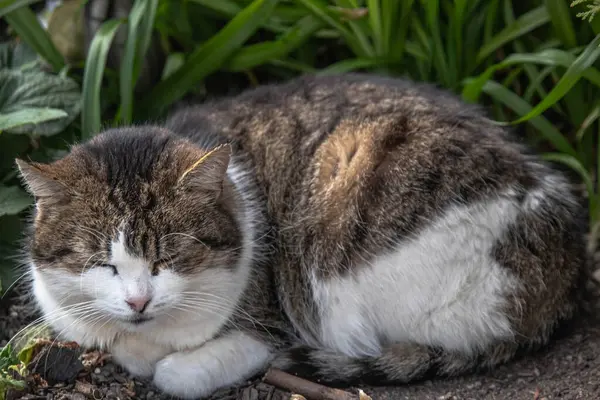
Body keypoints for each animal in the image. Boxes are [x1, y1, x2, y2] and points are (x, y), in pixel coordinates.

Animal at [17, 73, 592, 398]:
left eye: (168, 257)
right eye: (102, 262)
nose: (138, 302)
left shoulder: (273, 322)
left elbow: (188, 368)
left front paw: (168, 361)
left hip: (344, 280)